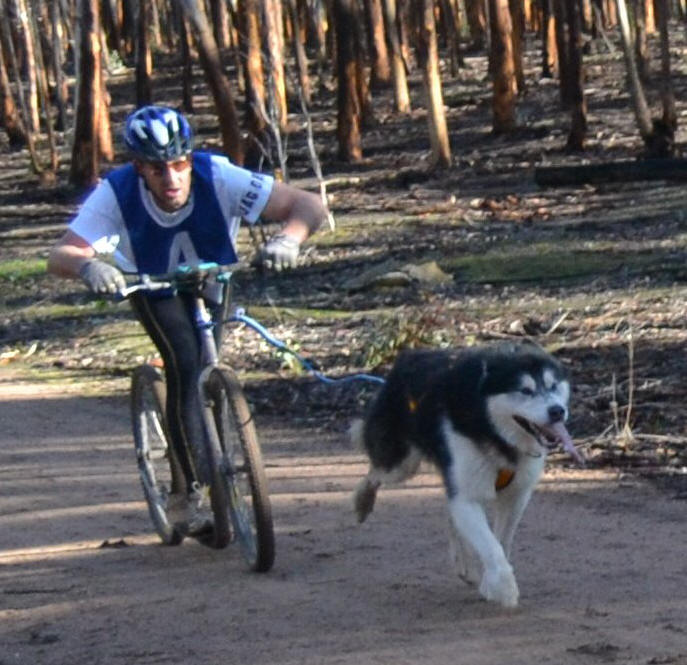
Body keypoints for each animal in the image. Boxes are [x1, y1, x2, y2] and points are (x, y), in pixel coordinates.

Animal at [352, 342, 584, 608]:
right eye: (525, 390)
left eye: (553, 385)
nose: (557, 411)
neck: (493, 429)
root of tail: (409, 355)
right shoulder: (467, 495)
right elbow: (490, 545)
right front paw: (504, 587)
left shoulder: (517, 495)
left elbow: (500, 541)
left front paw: (489, 582)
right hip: (401, 463)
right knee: (374, 473)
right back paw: (362, 501)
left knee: (450, 514)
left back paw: (464, 565)